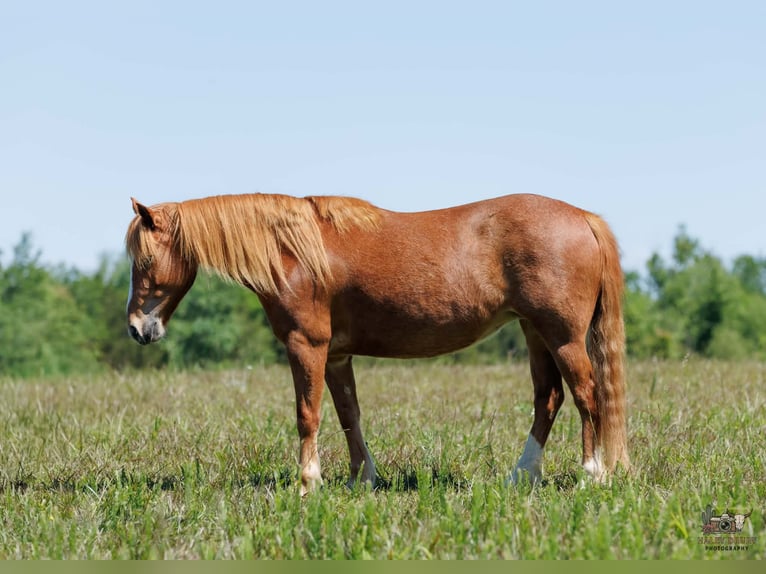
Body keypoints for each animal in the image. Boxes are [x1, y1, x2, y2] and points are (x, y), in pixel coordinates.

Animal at [125, 192, 630, 494]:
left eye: (145, 260)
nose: (136, 328)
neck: (293, 252)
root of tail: (584, 218)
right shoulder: (336, 355)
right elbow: (350, 416)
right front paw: (360, 480)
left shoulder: (306, 345)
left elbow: (308, 415)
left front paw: (307, 484)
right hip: (534, 332)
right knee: (550, 398)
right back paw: (521, 476)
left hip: (562, 337)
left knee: (587, 396)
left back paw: (592, 474)